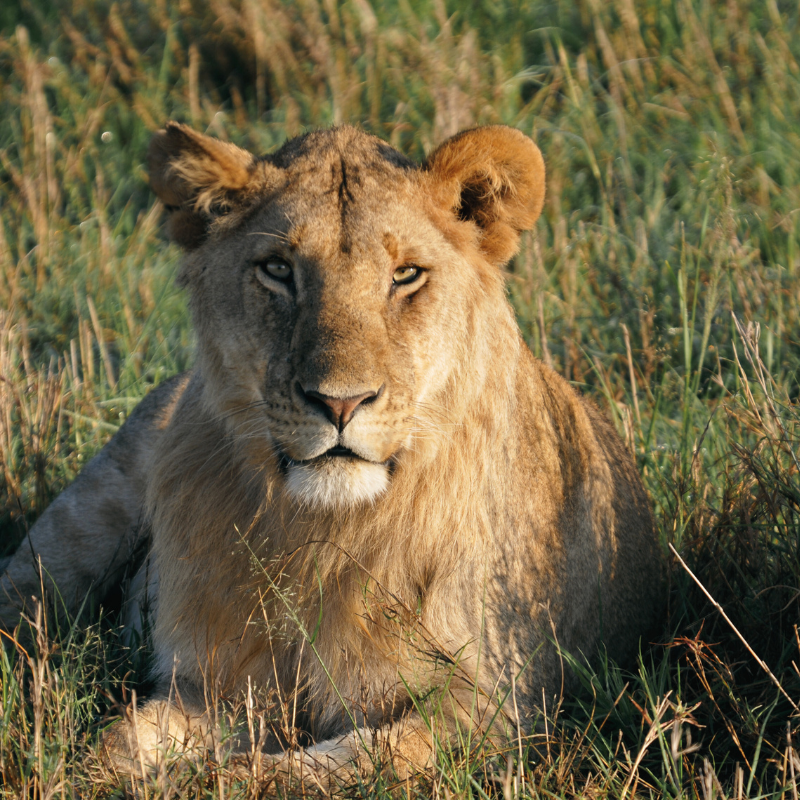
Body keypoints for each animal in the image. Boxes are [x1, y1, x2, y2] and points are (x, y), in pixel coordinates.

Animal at [0, 122, 661, 786]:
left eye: (406, 274)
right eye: (277, 269)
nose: (340, 403)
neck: (321, 533)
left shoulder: (494, 708)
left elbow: (324, 770)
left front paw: (215, 779)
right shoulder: (211, 686)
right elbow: (115, 744)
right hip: (80, 522)